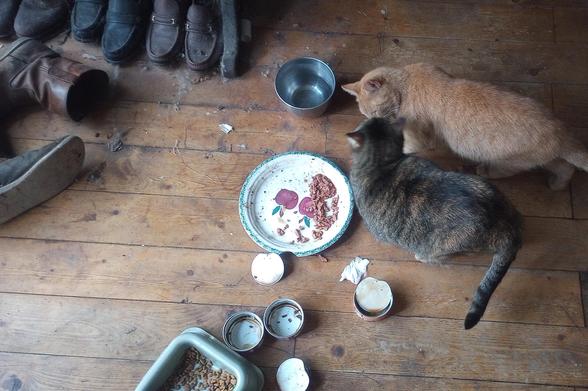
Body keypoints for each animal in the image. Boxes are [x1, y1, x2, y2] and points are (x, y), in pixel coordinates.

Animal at [340, 63, 588, 191]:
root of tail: (561, 131)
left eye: (374, 114)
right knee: (566, 167)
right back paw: (557, 185)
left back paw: (484, 170)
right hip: (547, 159)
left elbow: (408, 146)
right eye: (367, 115)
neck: (406, 83)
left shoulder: (419, 137)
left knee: (504, 171)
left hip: (510, 162)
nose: (378, 121)